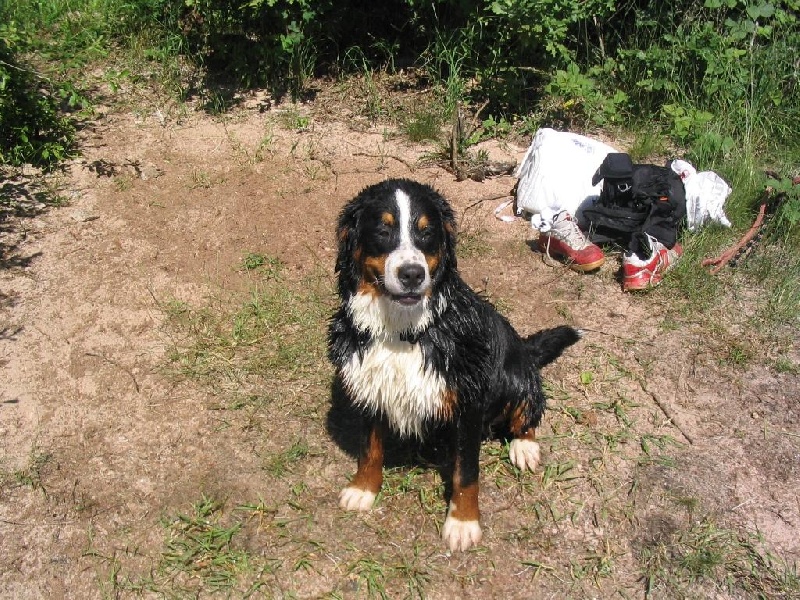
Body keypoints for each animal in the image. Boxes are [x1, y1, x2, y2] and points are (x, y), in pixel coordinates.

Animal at [324, 179, 580, 552]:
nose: (412, 274)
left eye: (426, 232)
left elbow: (466, 472)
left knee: (527, 411)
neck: (403, 333)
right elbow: (370, 449)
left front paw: (463, 522)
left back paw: (524, 446)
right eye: (383, 230)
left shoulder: (467, 405)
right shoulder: (371, 384)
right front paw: (364, 489)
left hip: (516, 372)